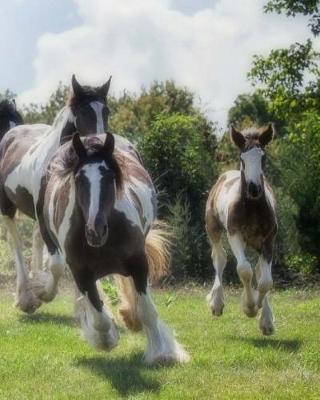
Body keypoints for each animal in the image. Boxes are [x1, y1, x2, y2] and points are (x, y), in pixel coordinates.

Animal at [0, 74, 111, 312]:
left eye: (106, 111)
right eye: (84, 112)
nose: (99, 145)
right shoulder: (44, 217)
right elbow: (57, 264)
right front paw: (43, 292)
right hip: (7, 208)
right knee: (15, 241)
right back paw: (26, 296)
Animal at [38, 133, 189, 364]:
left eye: (109, 178)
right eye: (79, 179)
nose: (95, 230)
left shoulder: (138, 263)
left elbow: (147, 310)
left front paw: (163, 353)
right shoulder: (81, 273)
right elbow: (98, 315)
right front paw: (107, 339)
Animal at [205, 124, 278, 334]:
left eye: (263, 157)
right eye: (242, 158)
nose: (254, 189)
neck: (252, 208)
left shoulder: (268, 240)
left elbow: (265, 280)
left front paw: (262, 313)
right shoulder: (235, 234)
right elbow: (244, 269)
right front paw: (249, 307)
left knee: (260, 270)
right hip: (213, 228)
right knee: (219, 258)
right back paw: (216, 302)